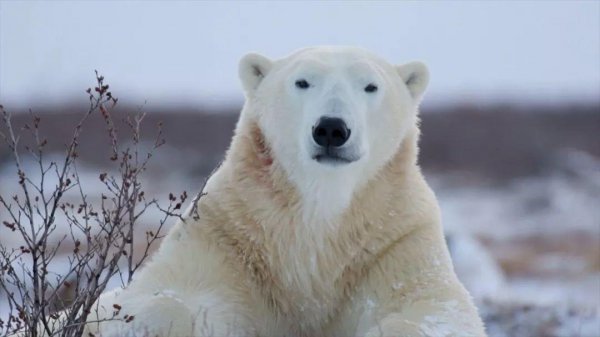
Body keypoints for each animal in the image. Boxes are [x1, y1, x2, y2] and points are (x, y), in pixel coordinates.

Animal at [58, 46, 488, 336]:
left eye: (371, 86)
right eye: (302, 81)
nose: (331, 128)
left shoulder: (391, 241)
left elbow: (433, 308)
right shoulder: (230, 236)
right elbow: (166, 299)